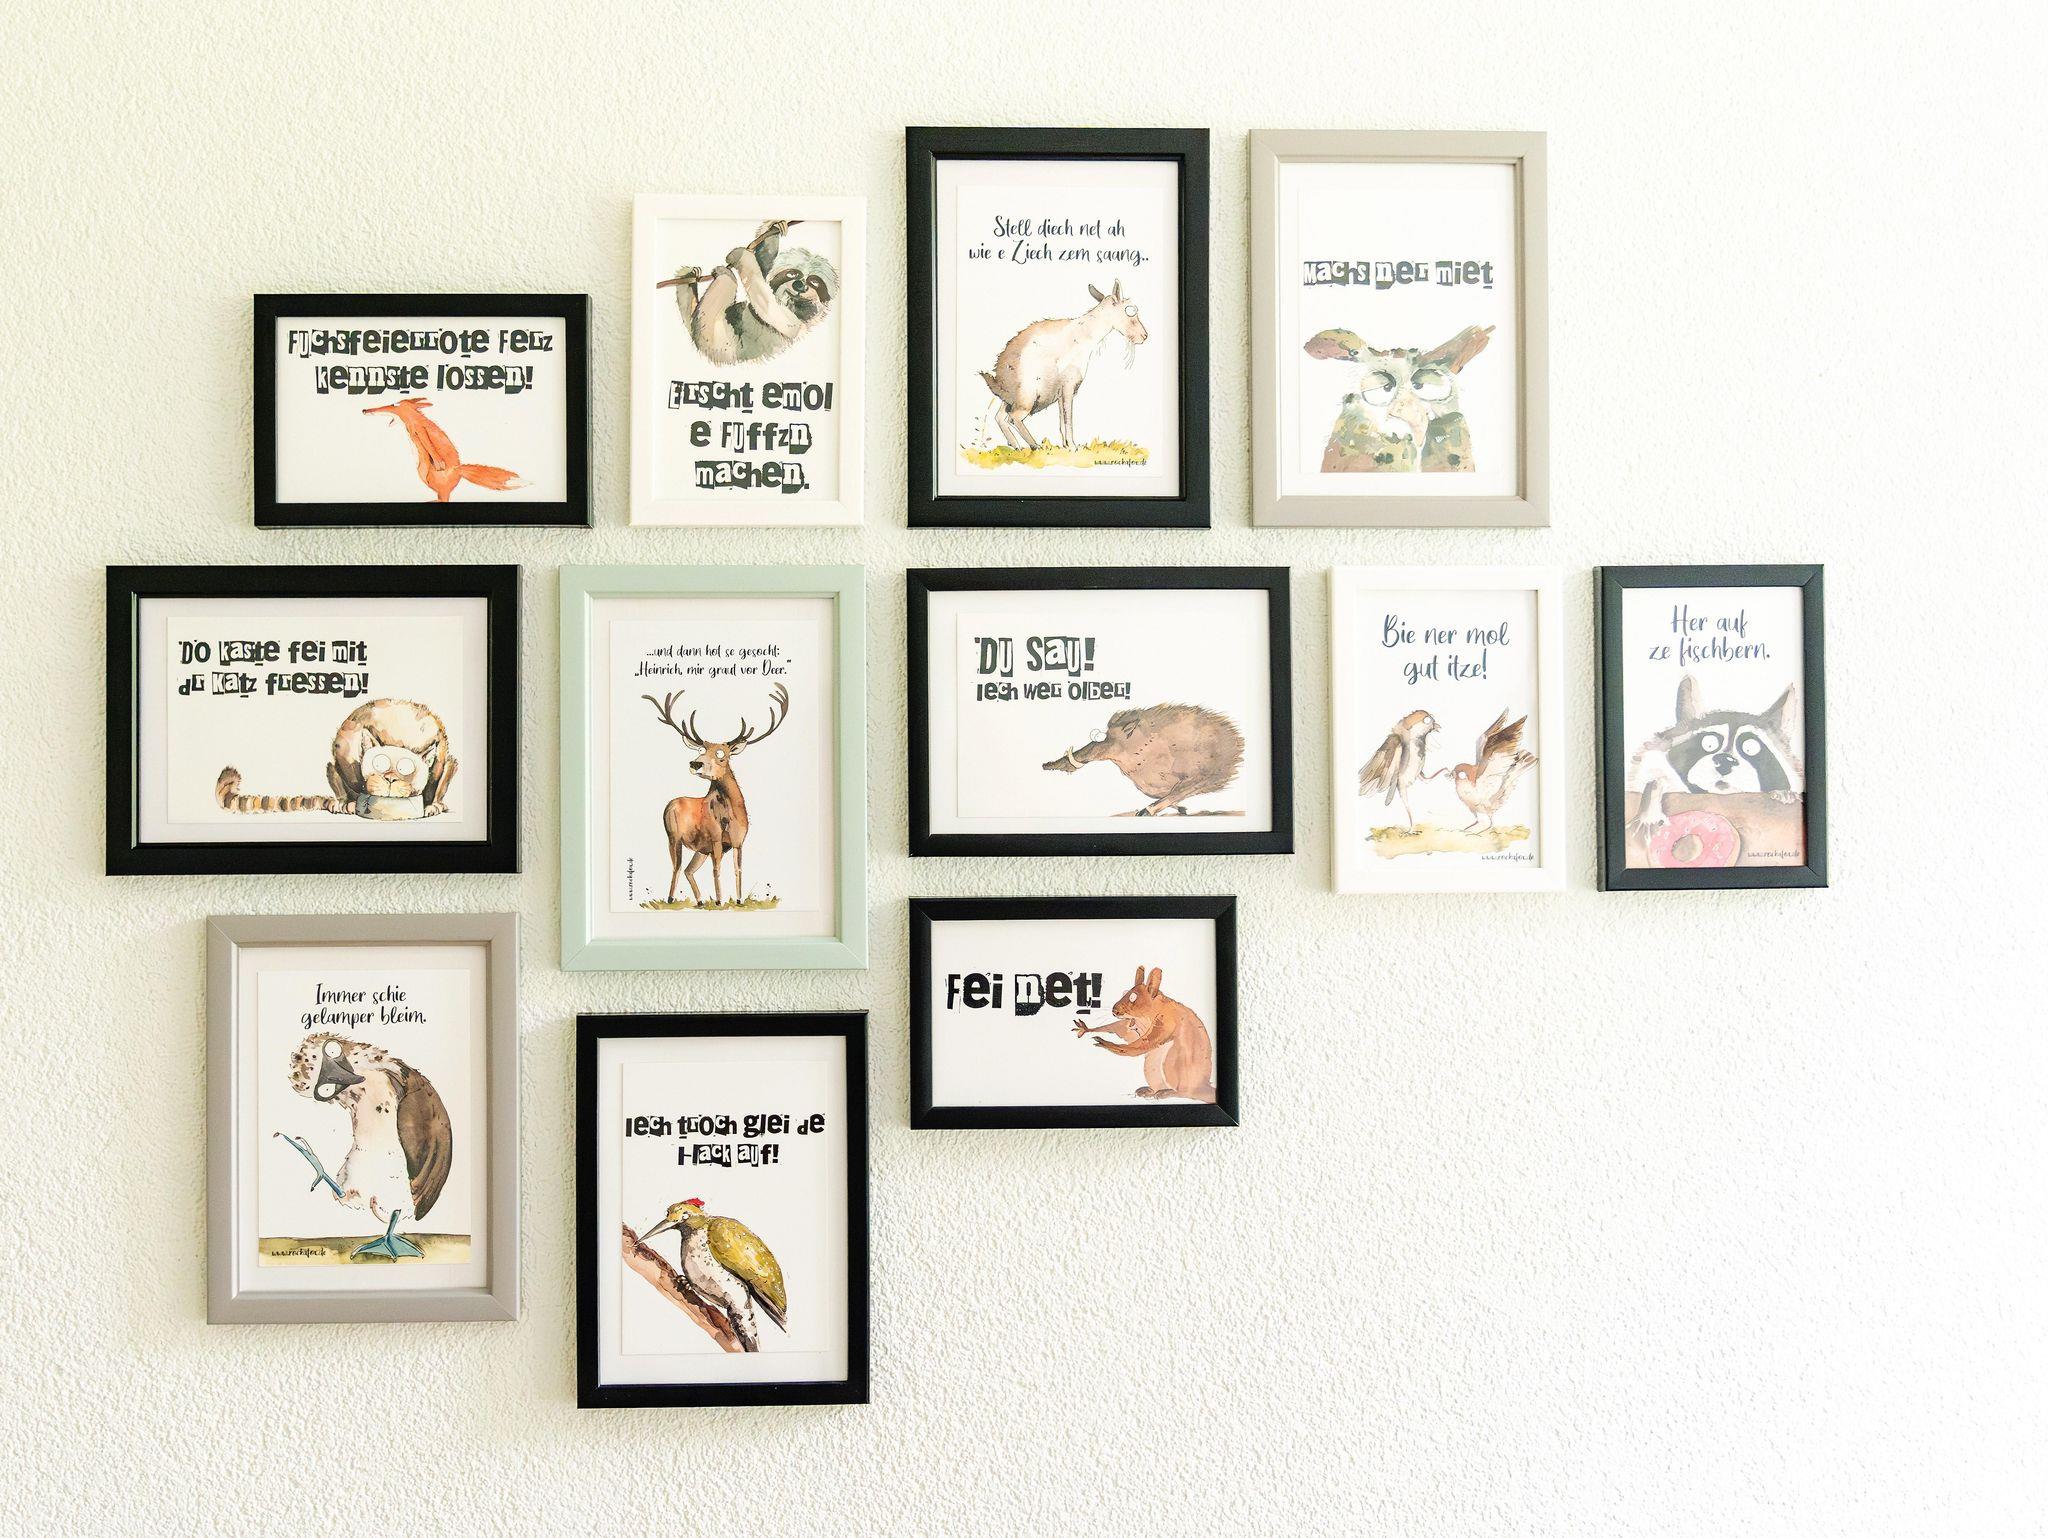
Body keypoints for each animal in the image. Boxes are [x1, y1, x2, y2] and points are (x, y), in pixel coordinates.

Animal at [216, 699, 455, 820]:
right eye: (379, 764)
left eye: (406, 769)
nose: (389, 779)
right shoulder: (345, 755)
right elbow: (336, 769)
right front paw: (346, 803)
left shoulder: (444, 758)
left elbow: (444, 776)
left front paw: (433, 805)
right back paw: (345, 803)